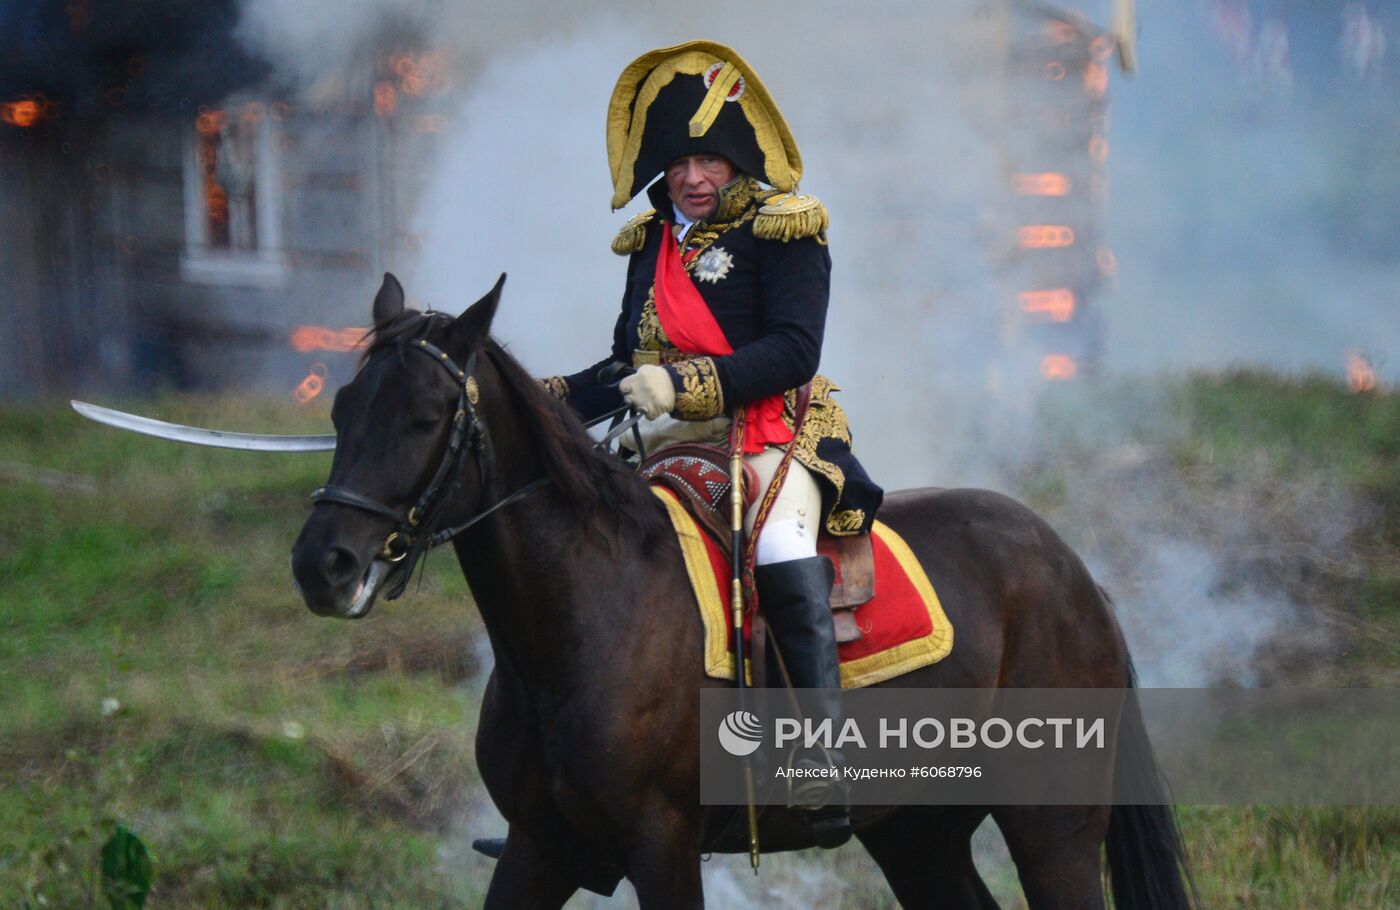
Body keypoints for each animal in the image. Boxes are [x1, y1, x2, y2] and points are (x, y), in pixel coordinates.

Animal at [289, 275, 1187, 907]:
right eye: (342, 407)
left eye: (428, 414)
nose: (323, 565)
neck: (579, 622)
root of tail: (1075, 574)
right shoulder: (539, 850)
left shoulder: (663, 847)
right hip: (917, 836)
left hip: (1052, 829)